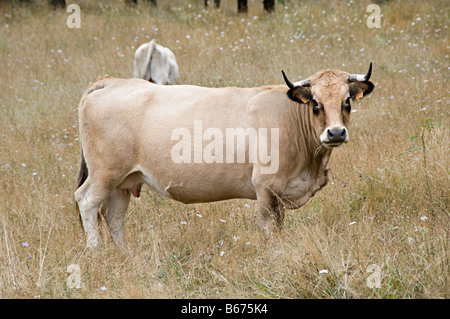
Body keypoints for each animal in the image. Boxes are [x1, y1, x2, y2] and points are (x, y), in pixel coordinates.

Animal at [75, 63, 374, 252]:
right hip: (105, 173)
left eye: (347, 101)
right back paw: (95, 252)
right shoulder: (266, 189)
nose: (336, 132)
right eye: (315, 103)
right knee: (87, 202)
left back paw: (127, 256)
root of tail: (110, 82)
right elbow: (272, 231)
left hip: (124, 181)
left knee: (114, 218)